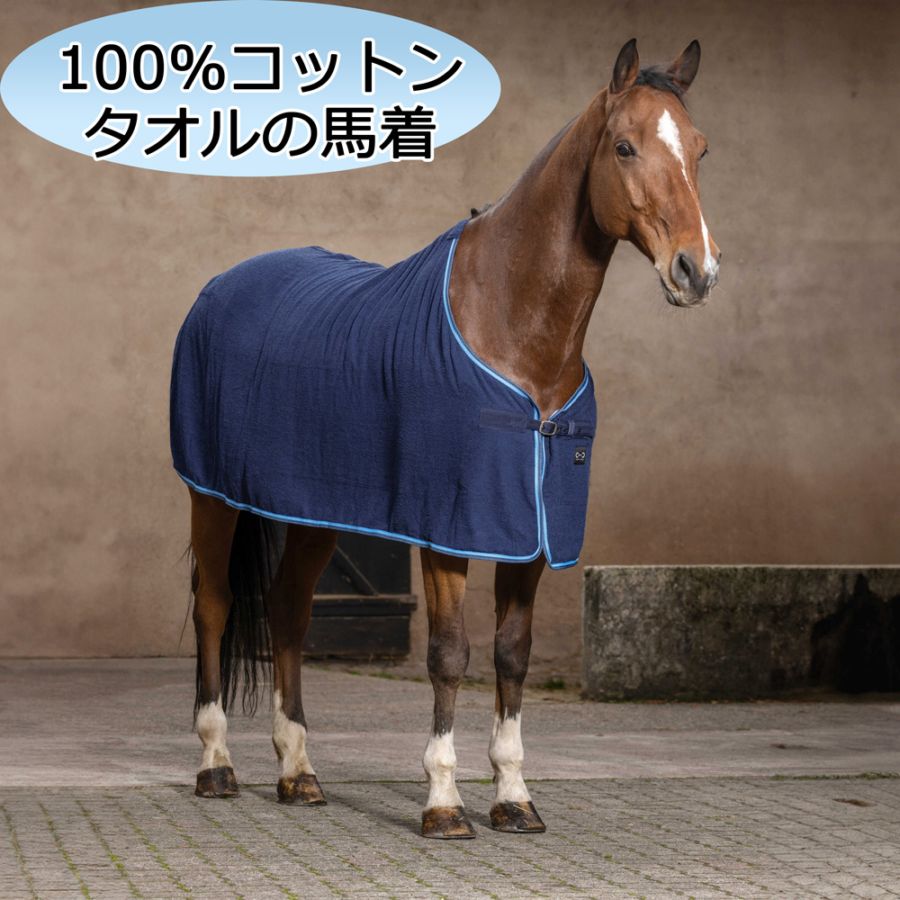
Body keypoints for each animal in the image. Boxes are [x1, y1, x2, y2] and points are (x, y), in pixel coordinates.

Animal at [172, 38, 720, 840]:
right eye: (623, 146)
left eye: (701, 149)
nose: (696, 271)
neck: (513, 327)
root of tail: (218, 286)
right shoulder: (449, 528)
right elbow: (449, 654)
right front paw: (443, 802)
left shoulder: (534, 530)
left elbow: (512, 655)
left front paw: (514, 797)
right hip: (212, 497)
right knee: (215, 605)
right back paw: (217, 764)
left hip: (313, 514)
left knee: (289, 612)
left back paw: (299, 772)